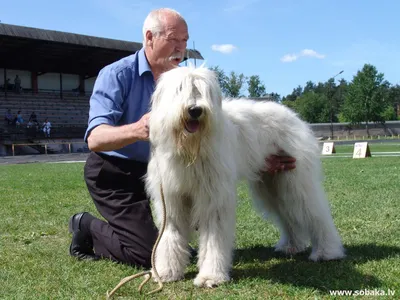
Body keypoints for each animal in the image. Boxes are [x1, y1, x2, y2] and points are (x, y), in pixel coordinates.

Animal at [145, 66, 346, 288]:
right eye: (180, 89)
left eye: (203, 90)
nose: (195, 110)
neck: (190, 150)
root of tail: (293, 115)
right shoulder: (171, 199)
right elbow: (169, 234)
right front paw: (166, 271)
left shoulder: (215, 197)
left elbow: (214, 237)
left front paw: (211, 276)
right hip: (273, 184)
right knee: (288, 215)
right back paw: (292, 246)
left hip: (296, 181)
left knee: (316, 214)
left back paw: (327, 252)